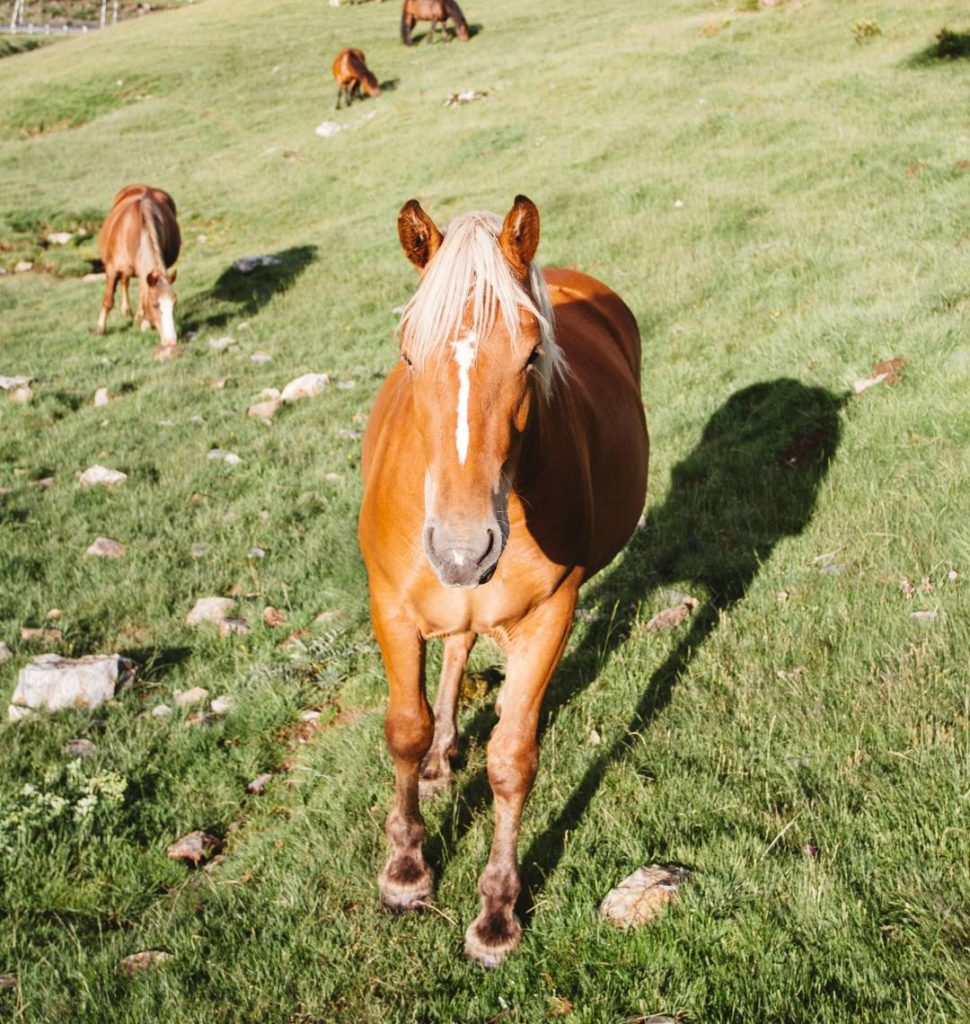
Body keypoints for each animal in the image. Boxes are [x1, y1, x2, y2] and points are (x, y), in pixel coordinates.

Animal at [95, 184, 181, 356]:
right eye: (155, 305)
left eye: (174, 304)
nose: (170, 341)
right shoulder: (111, 269)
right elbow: (108, 300)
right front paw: (100, 328)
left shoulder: (146, 274)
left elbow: (142, 294)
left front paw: (144, 321)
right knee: (124, 281)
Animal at [360, 197, 647, 966]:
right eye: (407, 353)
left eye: (531, 354)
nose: (462, 549)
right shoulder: (390, 605)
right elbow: (403, 729)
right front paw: (405, 871)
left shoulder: (550, 615)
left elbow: (512, 760)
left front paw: (496, 912)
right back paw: (439, 757)